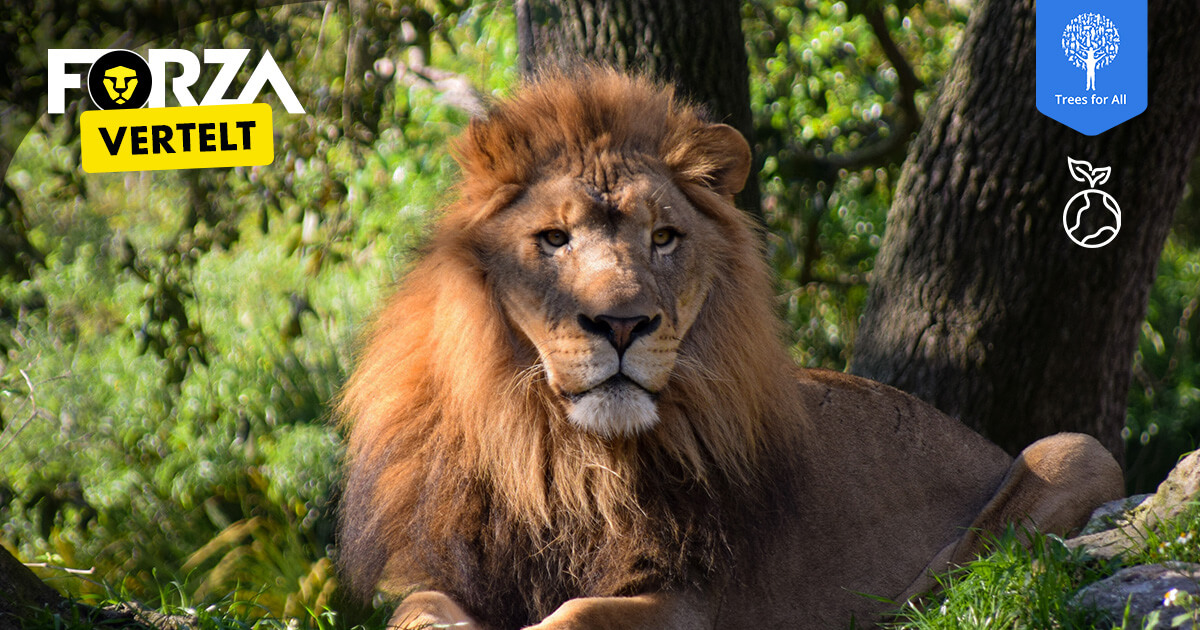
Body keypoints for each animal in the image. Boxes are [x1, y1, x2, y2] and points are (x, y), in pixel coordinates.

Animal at [340, 68, 1123, 628]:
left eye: (664, 237)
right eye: (554, 238)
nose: (621, 324)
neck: (560, 455)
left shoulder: (690, 597)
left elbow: (578, 615)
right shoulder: (451, 569)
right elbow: (415, 610)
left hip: (1077, 451)